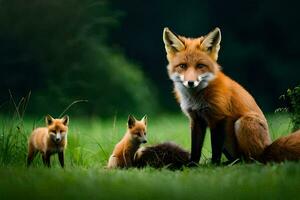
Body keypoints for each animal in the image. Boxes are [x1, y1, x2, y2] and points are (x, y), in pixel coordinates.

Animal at [163, 26, 300, 164]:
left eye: (200, 66)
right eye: (182, 66)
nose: (190, 83)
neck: (197, 97)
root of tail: (267, 148)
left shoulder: (219, 117)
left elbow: (215, 148)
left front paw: (214, 165)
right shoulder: (196, 119)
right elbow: (195, 149)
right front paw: (192, 165)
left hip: (242, 123)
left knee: (251, 160)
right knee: (238, 158)